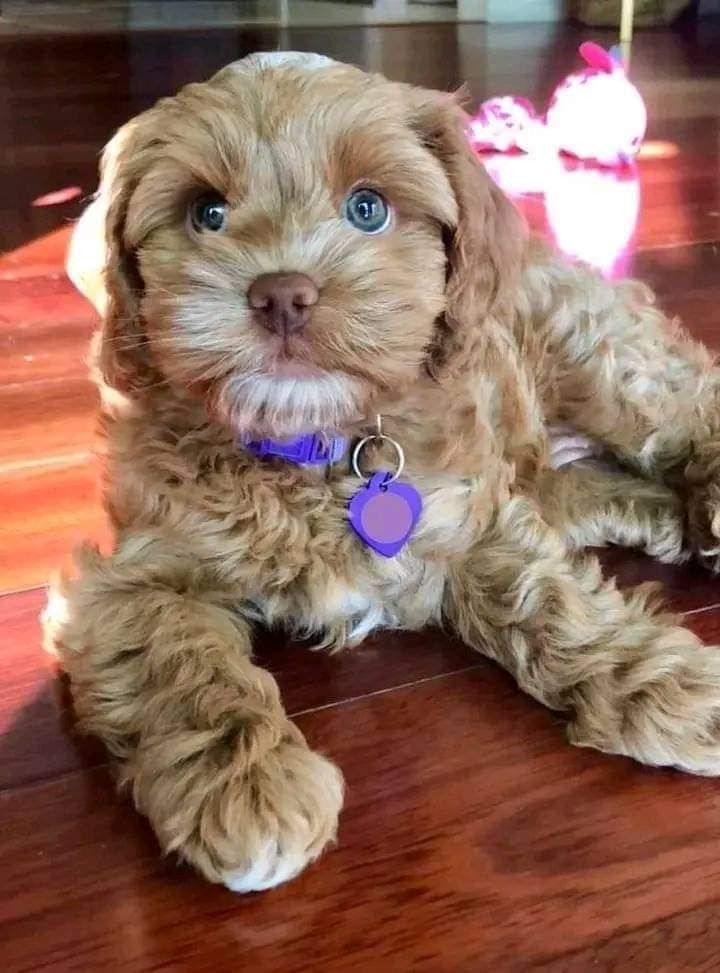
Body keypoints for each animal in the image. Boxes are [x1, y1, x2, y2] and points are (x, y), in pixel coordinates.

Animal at [49, 51, 720, 888]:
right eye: (206, 213)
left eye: (367, 209)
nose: (282, 294)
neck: (315, 443)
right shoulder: (124, 581)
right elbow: (175, 656)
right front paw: (246, 783)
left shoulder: (476, 517)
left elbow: (555, 603)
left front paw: (667, 684)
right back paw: (675, 523)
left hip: (601, 357)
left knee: (690, 401)